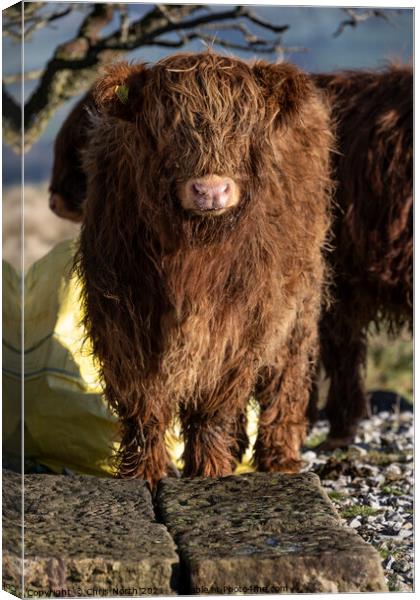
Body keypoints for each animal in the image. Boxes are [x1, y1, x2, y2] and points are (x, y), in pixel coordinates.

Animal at [74, 52, 332, 488]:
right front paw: (143, 474)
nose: (210, 190)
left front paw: (210, 473)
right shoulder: (123, 318)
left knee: (286, 380)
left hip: (299, 307)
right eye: (167, 127)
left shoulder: (239, 327)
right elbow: (145, 408)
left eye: (245, 128)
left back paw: (278, 459)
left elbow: (211, 409)